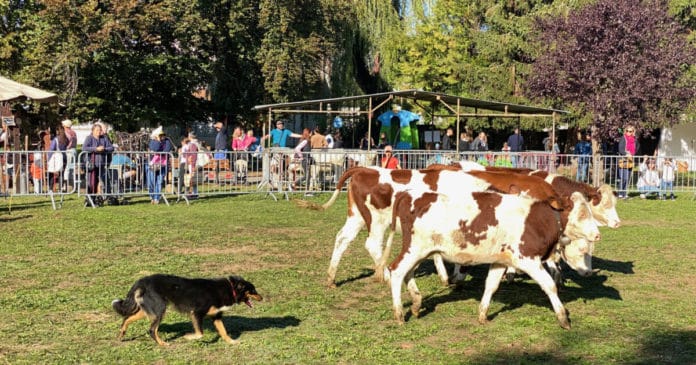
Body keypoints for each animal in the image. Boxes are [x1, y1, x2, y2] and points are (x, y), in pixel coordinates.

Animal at [113, 272, 262, 344]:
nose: (262, 298)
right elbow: (200, 333)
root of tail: (142, 281)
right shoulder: (196, 313)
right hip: (160, 309)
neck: (231, 289)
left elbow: (224, 332)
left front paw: (231, 342)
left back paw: (121, 335)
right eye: (253, 290)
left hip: (149, 309)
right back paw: (163, 344)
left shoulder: (216, 316)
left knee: (126, 319)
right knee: (152, 330)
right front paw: (187, 337)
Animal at [316, 166, 564, 288]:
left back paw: (331, 278)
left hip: (357, 217)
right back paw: (385, 275)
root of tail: (363, 170)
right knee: (372, 244)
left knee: (342, 238)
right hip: (376, 220)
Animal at [384, 189, 600, 328]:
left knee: (407, 273)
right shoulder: (527, 259)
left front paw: (482, 314)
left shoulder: (500, 261)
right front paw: (563, 318)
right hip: (415, 249)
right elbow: (549, 285)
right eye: (581, 213)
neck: (539, 219)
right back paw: (399, 314)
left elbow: (491, 286)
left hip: (418, 252)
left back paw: (416, 303)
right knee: (396, 271)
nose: (597, 234)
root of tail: (408, 194)